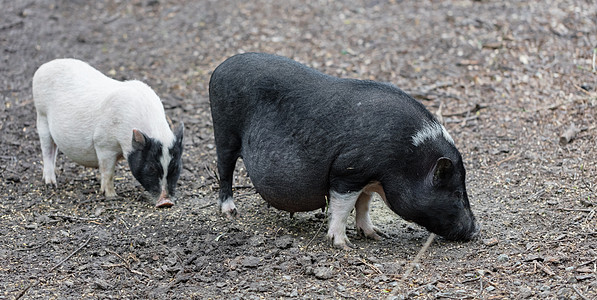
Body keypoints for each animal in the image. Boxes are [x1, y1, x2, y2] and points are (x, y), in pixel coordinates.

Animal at [30, 59, 182, 209]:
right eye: (151, 168)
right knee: (47, 151)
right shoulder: (103, 143)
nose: (166, 202)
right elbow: (108, 171)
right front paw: (111, 196)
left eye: (175, 168)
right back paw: (51, 184)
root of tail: (44, 66)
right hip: (41, 116)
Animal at [210, 52, 480, 248]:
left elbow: (363, 204)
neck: (406, 158)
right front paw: (343, 245)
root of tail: (220, 67)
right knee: (224, 170)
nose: (476, 231)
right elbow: (343, 207)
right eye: (457, 193)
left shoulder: (368, 179)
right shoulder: (348, 171)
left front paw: (376, 235)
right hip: (224, 132)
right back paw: (230, 212)